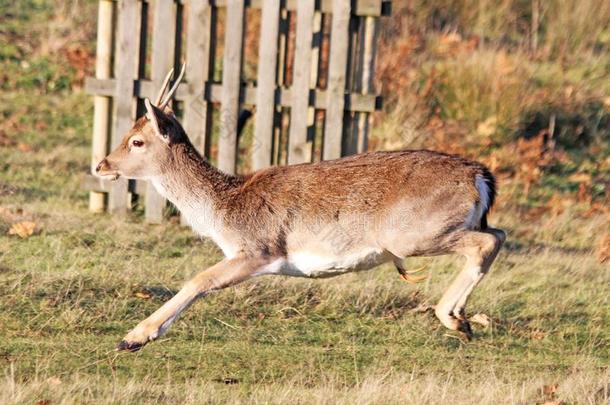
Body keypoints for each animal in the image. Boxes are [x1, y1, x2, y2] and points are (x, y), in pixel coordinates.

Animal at [95, 66, 504, 350]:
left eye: (136, 141)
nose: (101, 165)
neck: (222, 209)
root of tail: (481, 177)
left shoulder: (257, 248)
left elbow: (200, 279)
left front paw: (133, 337)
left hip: (410, 235)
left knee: (486, 242)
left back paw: (453, 319)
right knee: (497, 232)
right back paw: (463, 319)